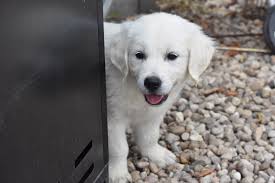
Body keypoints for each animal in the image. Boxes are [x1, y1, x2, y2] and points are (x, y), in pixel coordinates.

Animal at [103, 12, 216, 182]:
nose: (152, 82)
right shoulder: (112, 119)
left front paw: (155, 155)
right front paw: (118, 174)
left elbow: (149, 136)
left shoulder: (152, 114)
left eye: (172, 56)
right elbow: (119, 148)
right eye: (139, 55)